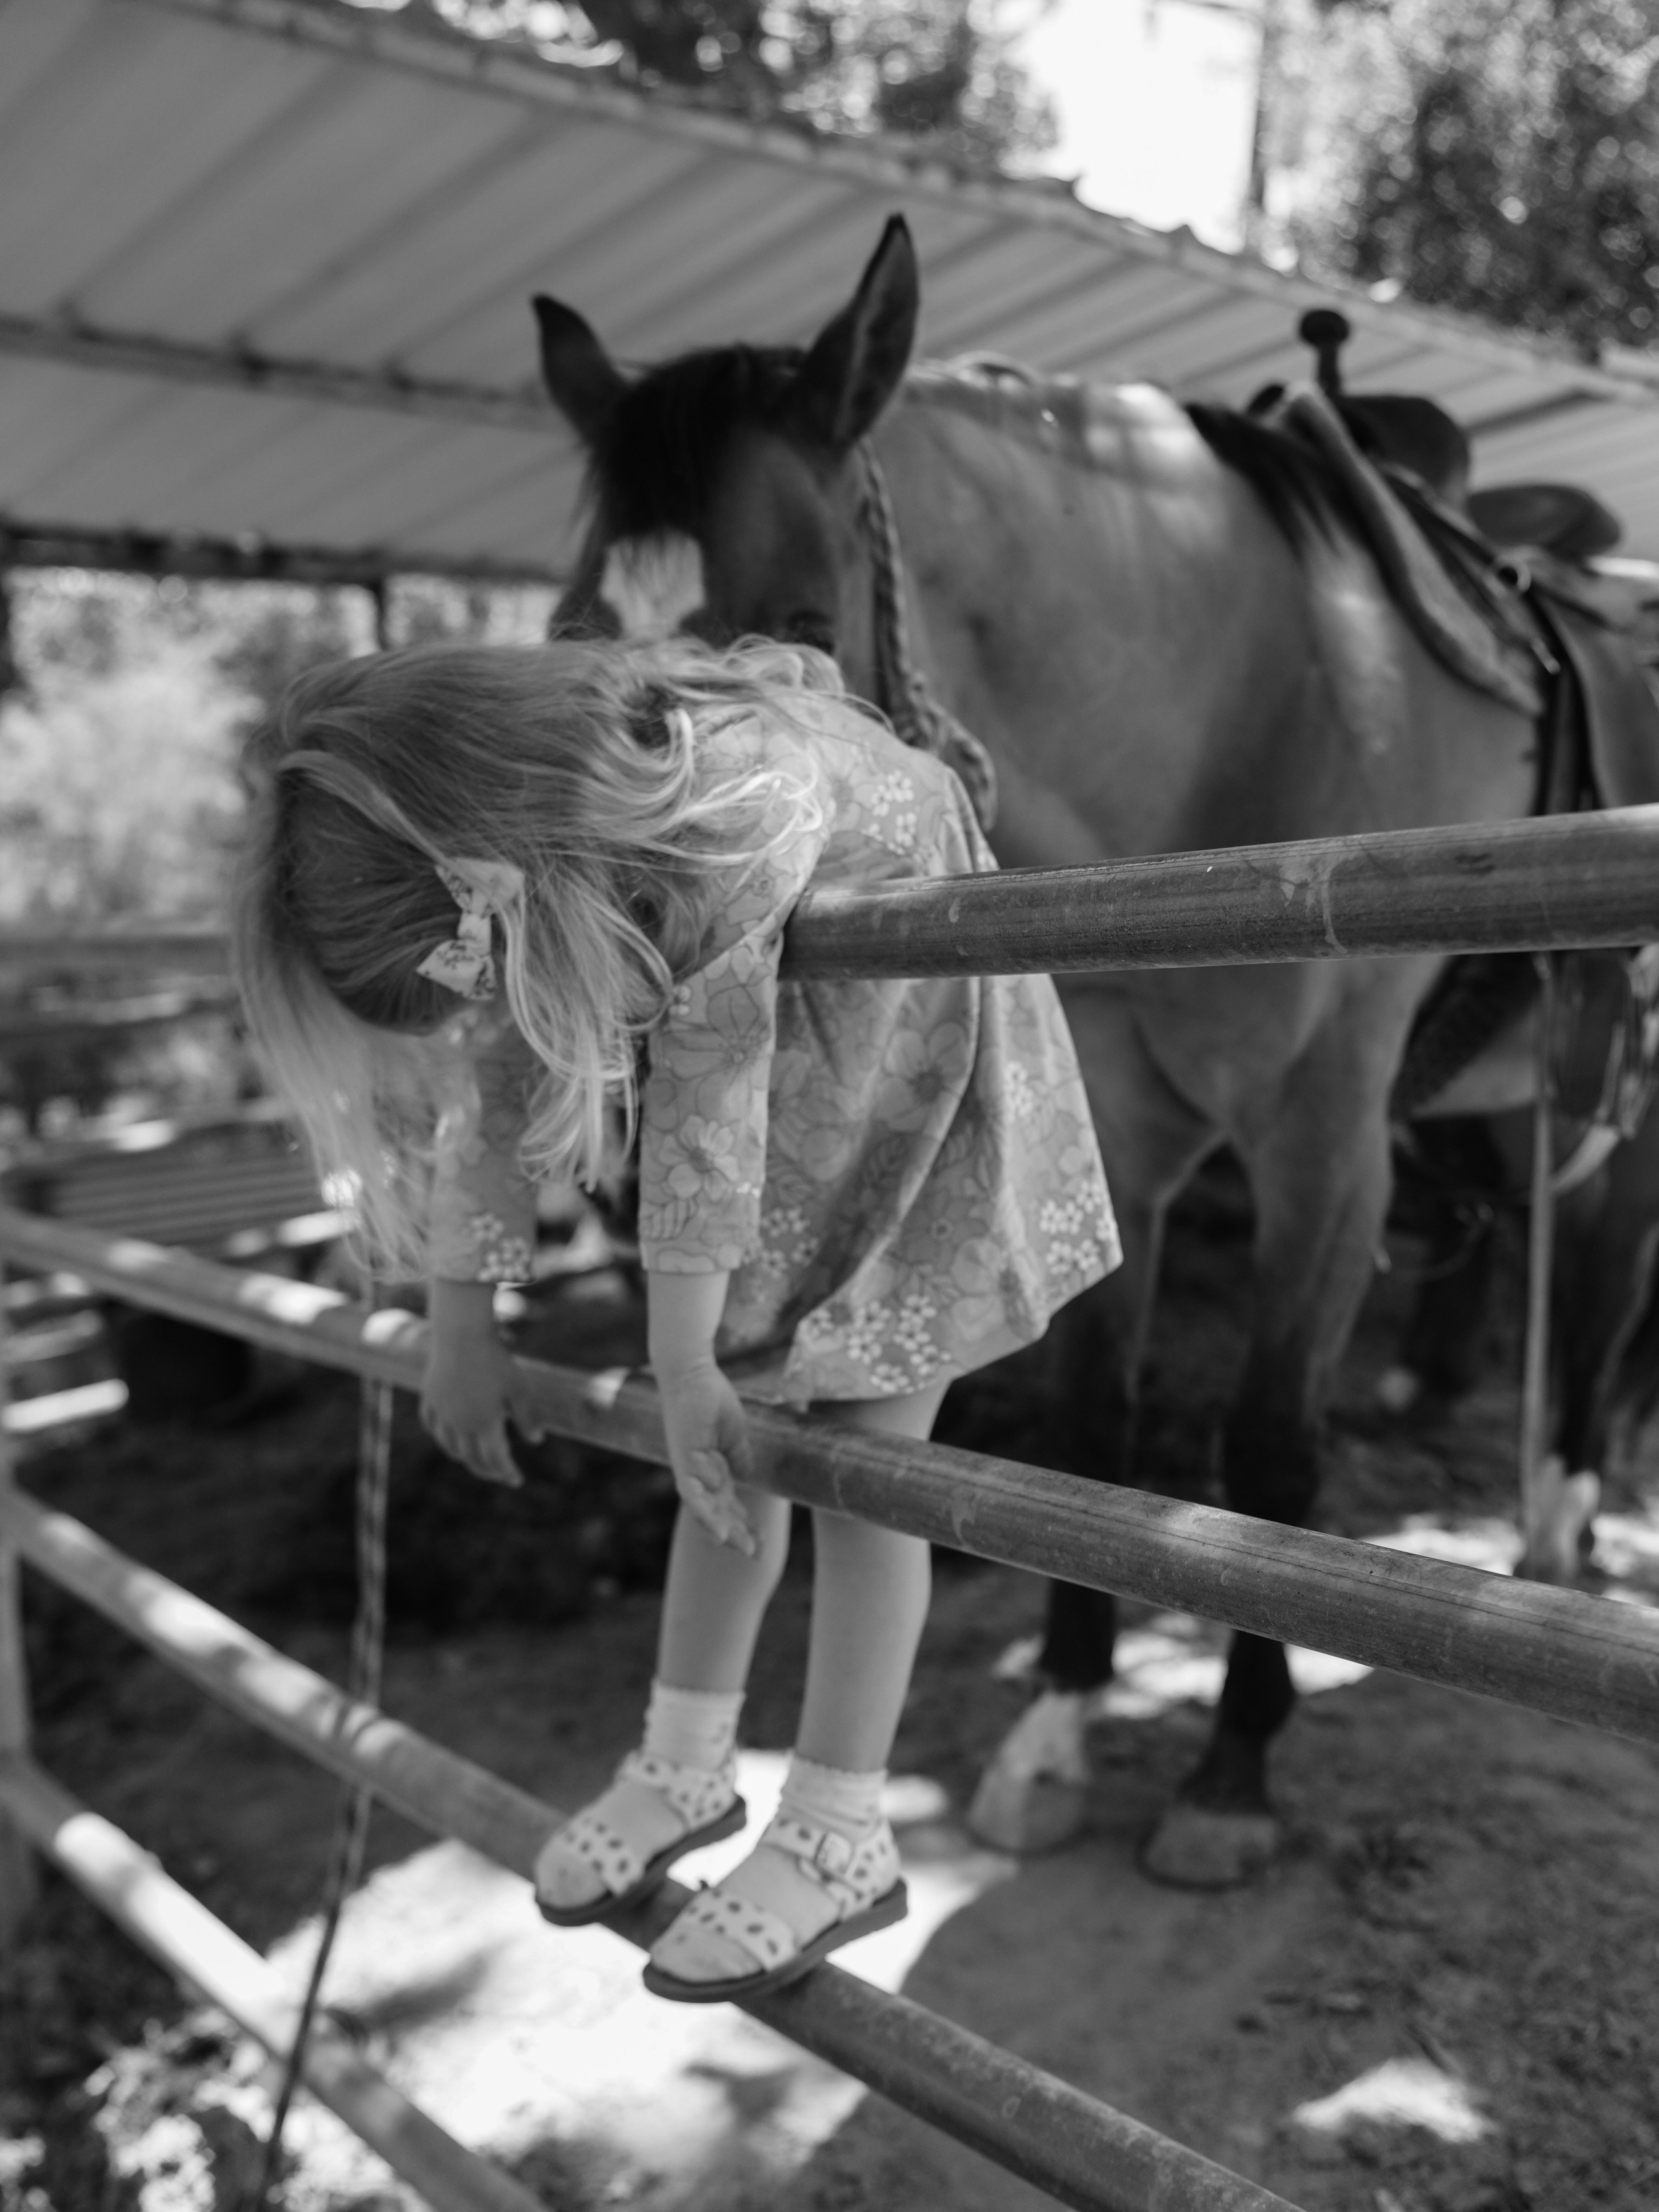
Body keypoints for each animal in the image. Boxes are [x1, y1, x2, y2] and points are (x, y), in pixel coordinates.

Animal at [530, 215, 1540, 1886]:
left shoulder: (1324, 1149)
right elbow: (1091, 1435)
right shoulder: (1119, 1141)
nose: (638, 1062)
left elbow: (1266, 1454)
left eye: (802, 628)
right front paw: (1056, 1725)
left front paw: (1226, 1772)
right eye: (570, 633)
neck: (1265, 707)